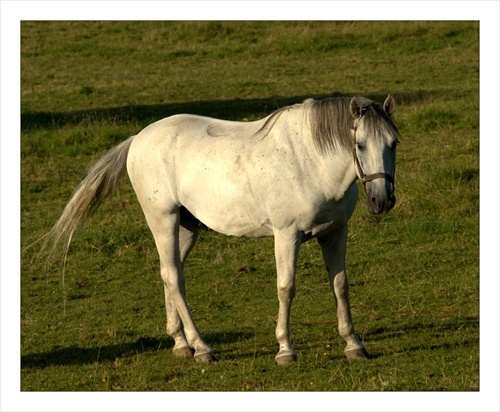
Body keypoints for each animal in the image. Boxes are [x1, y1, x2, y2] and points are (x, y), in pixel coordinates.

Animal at [45, 94, 400, 364]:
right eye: (360, 144)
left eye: (393, 143)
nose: (381, 200)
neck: (310, 161)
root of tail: (138, 139)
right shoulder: (287, 236)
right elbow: (286, 288)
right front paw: (285, 350)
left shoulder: (335, 233)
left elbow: (340, 285)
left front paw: (354, 344)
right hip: (163, 220)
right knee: (173, 277)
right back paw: (202, 347)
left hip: (186, 227)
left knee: (171, 273)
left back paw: (181, 343)